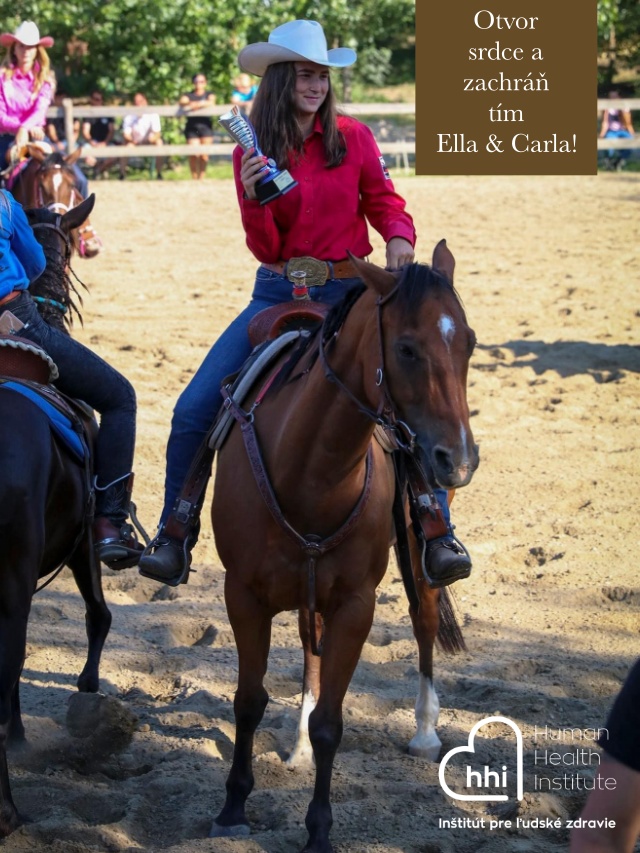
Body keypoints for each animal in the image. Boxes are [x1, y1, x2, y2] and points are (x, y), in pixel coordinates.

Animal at [211, 241, 480, 852]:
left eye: (470, 342)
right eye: (406, 348)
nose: (458, 460)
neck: (313, 471)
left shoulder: (357, 604)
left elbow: (332, 723)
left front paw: (318, 830)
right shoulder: (243, 595)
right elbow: (249, 700)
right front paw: (233, 805)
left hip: (418, 547)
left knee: (425, 618)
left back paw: (425, 732)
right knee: (310, 647)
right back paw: (297, 750)